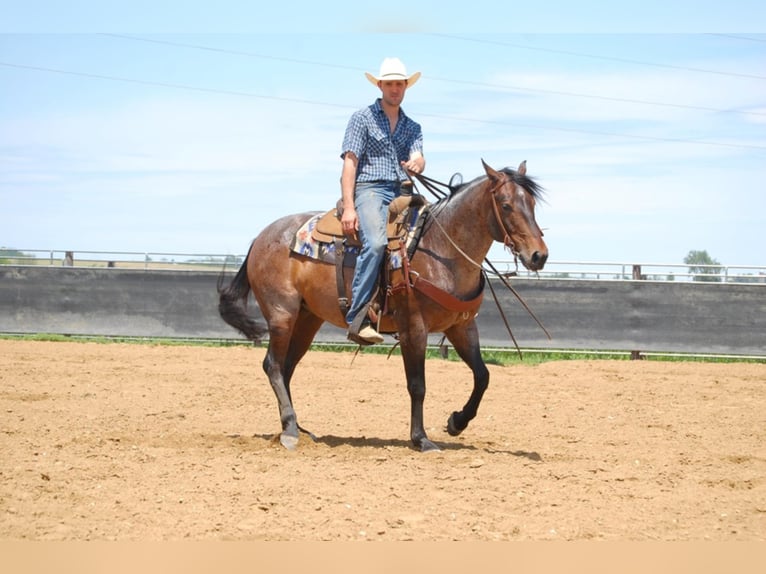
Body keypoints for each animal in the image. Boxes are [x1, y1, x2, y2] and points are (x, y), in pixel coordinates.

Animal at [219, 160, 548, 452]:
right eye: (505, 205)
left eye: (532, 203)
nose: (539, 255)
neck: (441, 250)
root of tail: (261, 237)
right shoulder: (413, 327)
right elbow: (417, 384)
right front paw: (421, 439)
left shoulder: (461, 326)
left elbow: (482, 376)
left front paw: (456, 422)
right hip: (282, 315)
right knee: (273, 365)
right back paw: (289, 430)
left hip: (307, 319)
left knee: (287, 368)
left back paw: (298, 428)